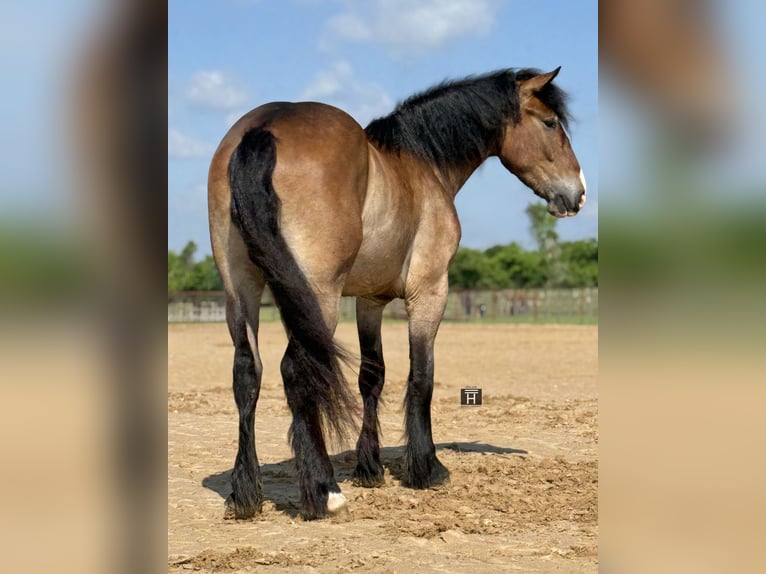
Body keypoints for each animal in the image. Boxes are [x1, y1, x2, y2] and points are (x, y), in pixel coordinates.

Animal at [208, 67, 587, 520]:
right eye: (550, 123)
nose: (578, 193)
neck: (422, 165)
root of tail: (262, 129)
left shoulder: (369, 301)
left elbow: (372, 377)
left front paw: (370, 468)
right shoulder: (430, 290)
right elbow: (421, 375)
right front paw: (426, 468)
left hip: (242, 292)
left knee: (247, 373)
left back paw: (245, 494)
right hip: (317, 296)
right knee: (298, 372)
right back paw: (323, 491)